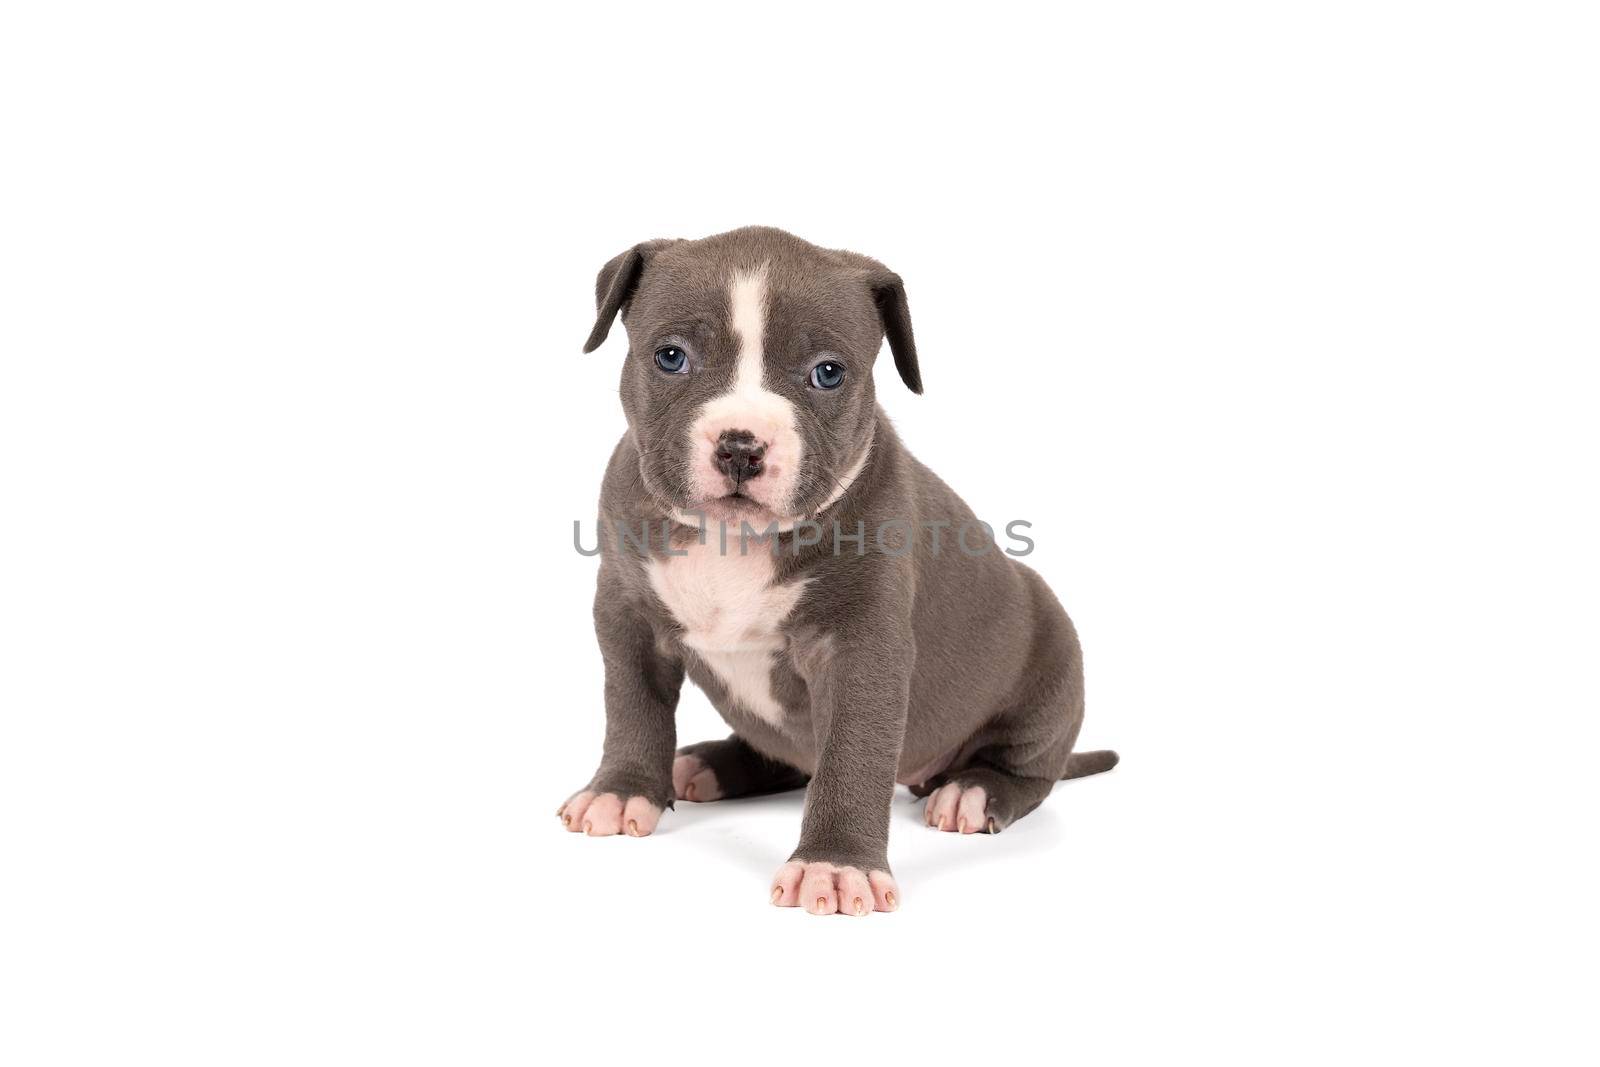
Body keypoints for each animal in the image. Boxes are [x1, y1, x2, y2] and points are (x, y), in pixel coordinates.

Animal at [560, 227, 1113, 921]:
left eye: (828, 373)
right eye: (670, 357)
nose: (740, 445)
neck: (733, 540)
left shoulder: (860, 647)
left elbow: (852, 753)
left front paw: (835, 865)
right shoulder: (627, 613)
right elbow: (632, 704)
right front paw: (623, 790)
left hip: (1054, 651)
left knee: (1029, 769)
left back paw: (974, 790)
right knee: (789, 754)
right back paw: (706, 766)